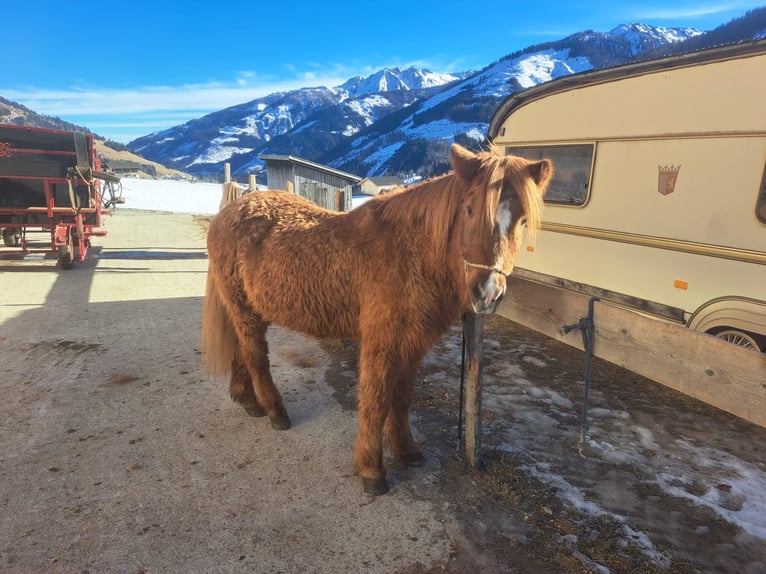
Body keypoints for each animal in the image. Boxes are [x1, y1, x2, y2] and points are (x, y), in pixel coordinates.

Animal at [201, 143, 552, 495]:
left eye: (522, 220)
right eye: (469, 209)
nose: (488, 292)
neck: (410, 253)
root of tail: (228, 213)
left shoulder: (414, 343)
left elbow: (402, 398)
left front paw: (406, 450)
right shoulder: (381, 341)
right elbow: (376, 400)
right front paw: (371, 469)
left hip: (246, 310)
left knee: (241, 350)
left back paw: (248, 400)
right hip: (245, 310)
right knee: (256, 357)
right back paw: (275, 412)